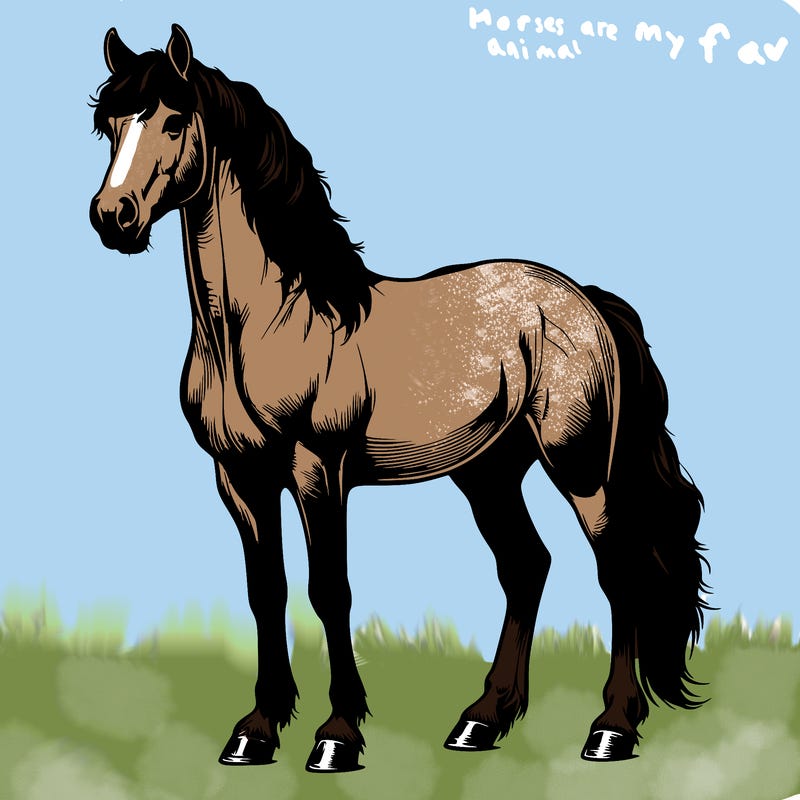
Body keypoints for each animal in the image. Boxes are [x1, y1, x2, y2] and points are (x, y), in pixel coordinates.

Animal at [89, 24, 709, 773]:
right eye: (108, 124)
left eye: (175, 120)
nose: (112, 217)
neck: (264, 323)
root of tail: (583, 300)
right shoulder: (238, 478)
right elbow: (266, 592)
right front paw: (256, 731)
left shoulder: (317, 471)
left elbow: (330, 591)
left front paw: (337, 736)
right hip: (489, 473)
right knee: (525, 567)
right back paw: (481, 721)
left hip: (580, 468)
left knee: (618, 572)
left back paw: (611, 728)